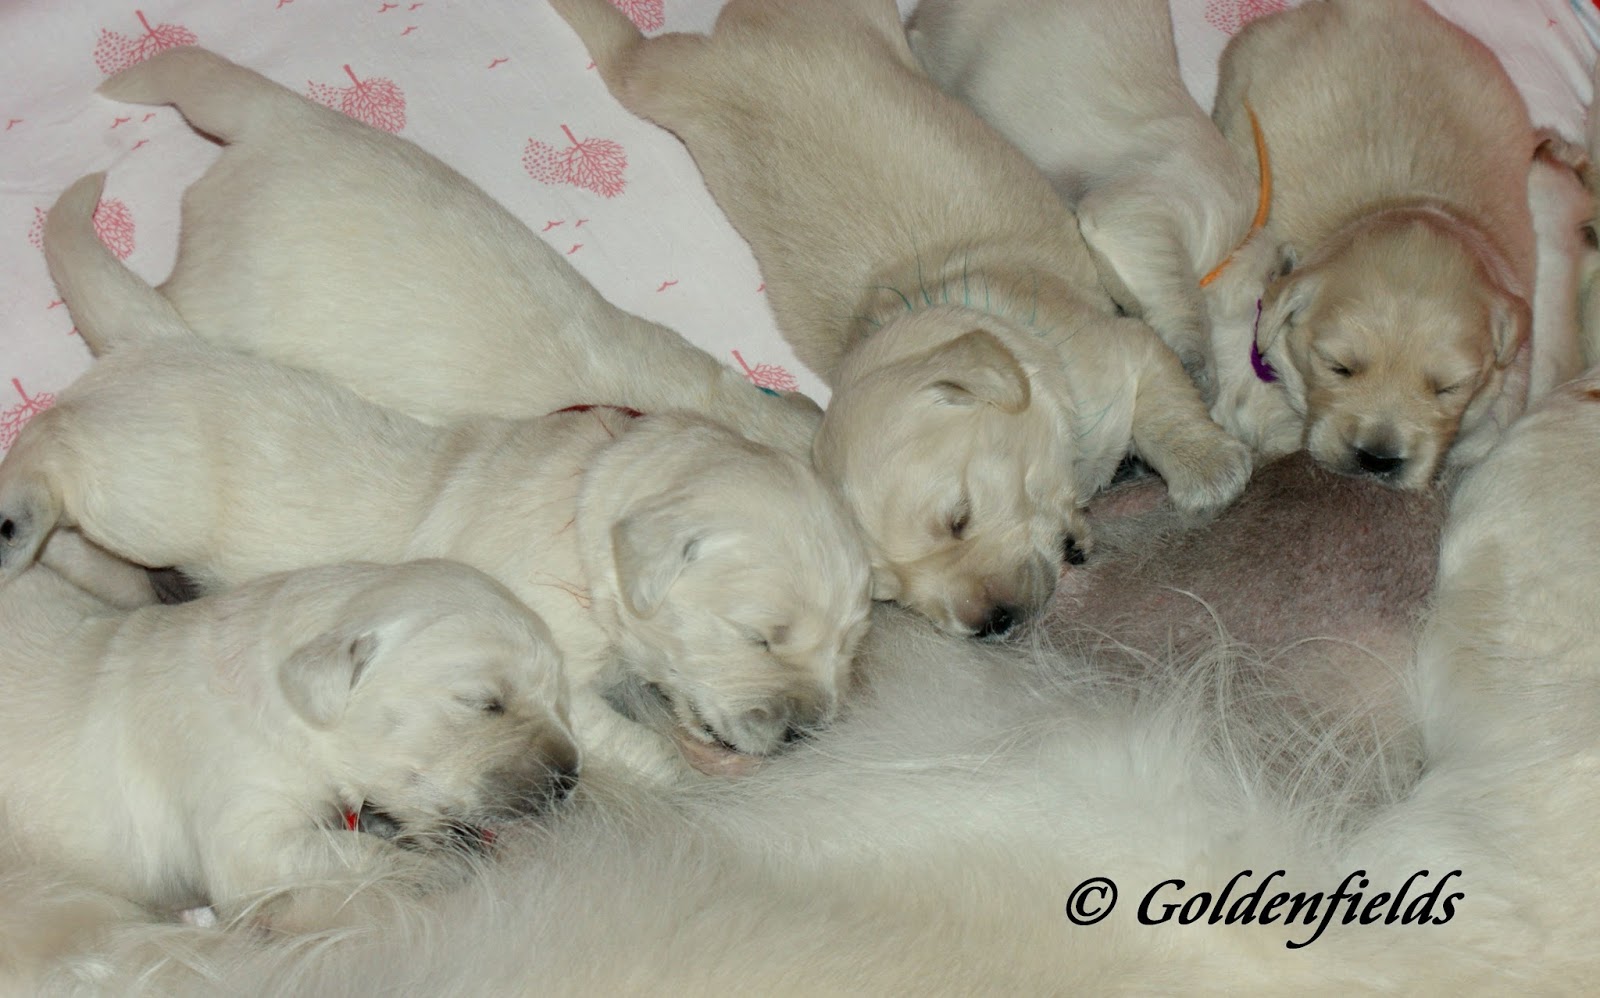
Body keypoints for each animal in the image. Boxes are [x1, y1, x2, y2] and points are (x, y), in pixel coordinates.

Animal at [0, 555, 578, 938]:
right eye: (485, 702)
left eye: (558, 695)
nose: (568, 779)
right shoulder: (245, 823)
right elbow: (351, 851)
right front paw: (433, 870)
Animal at [2, 173, 873, 782]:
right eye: (758, 634)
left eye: (850, 644)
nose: (805, 731)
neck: (591, 503)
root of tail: (154, 342)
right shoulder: (552, 655)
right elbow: (623, 741)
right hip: (147, 488)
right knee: (50, 441)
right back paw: (17, 519)